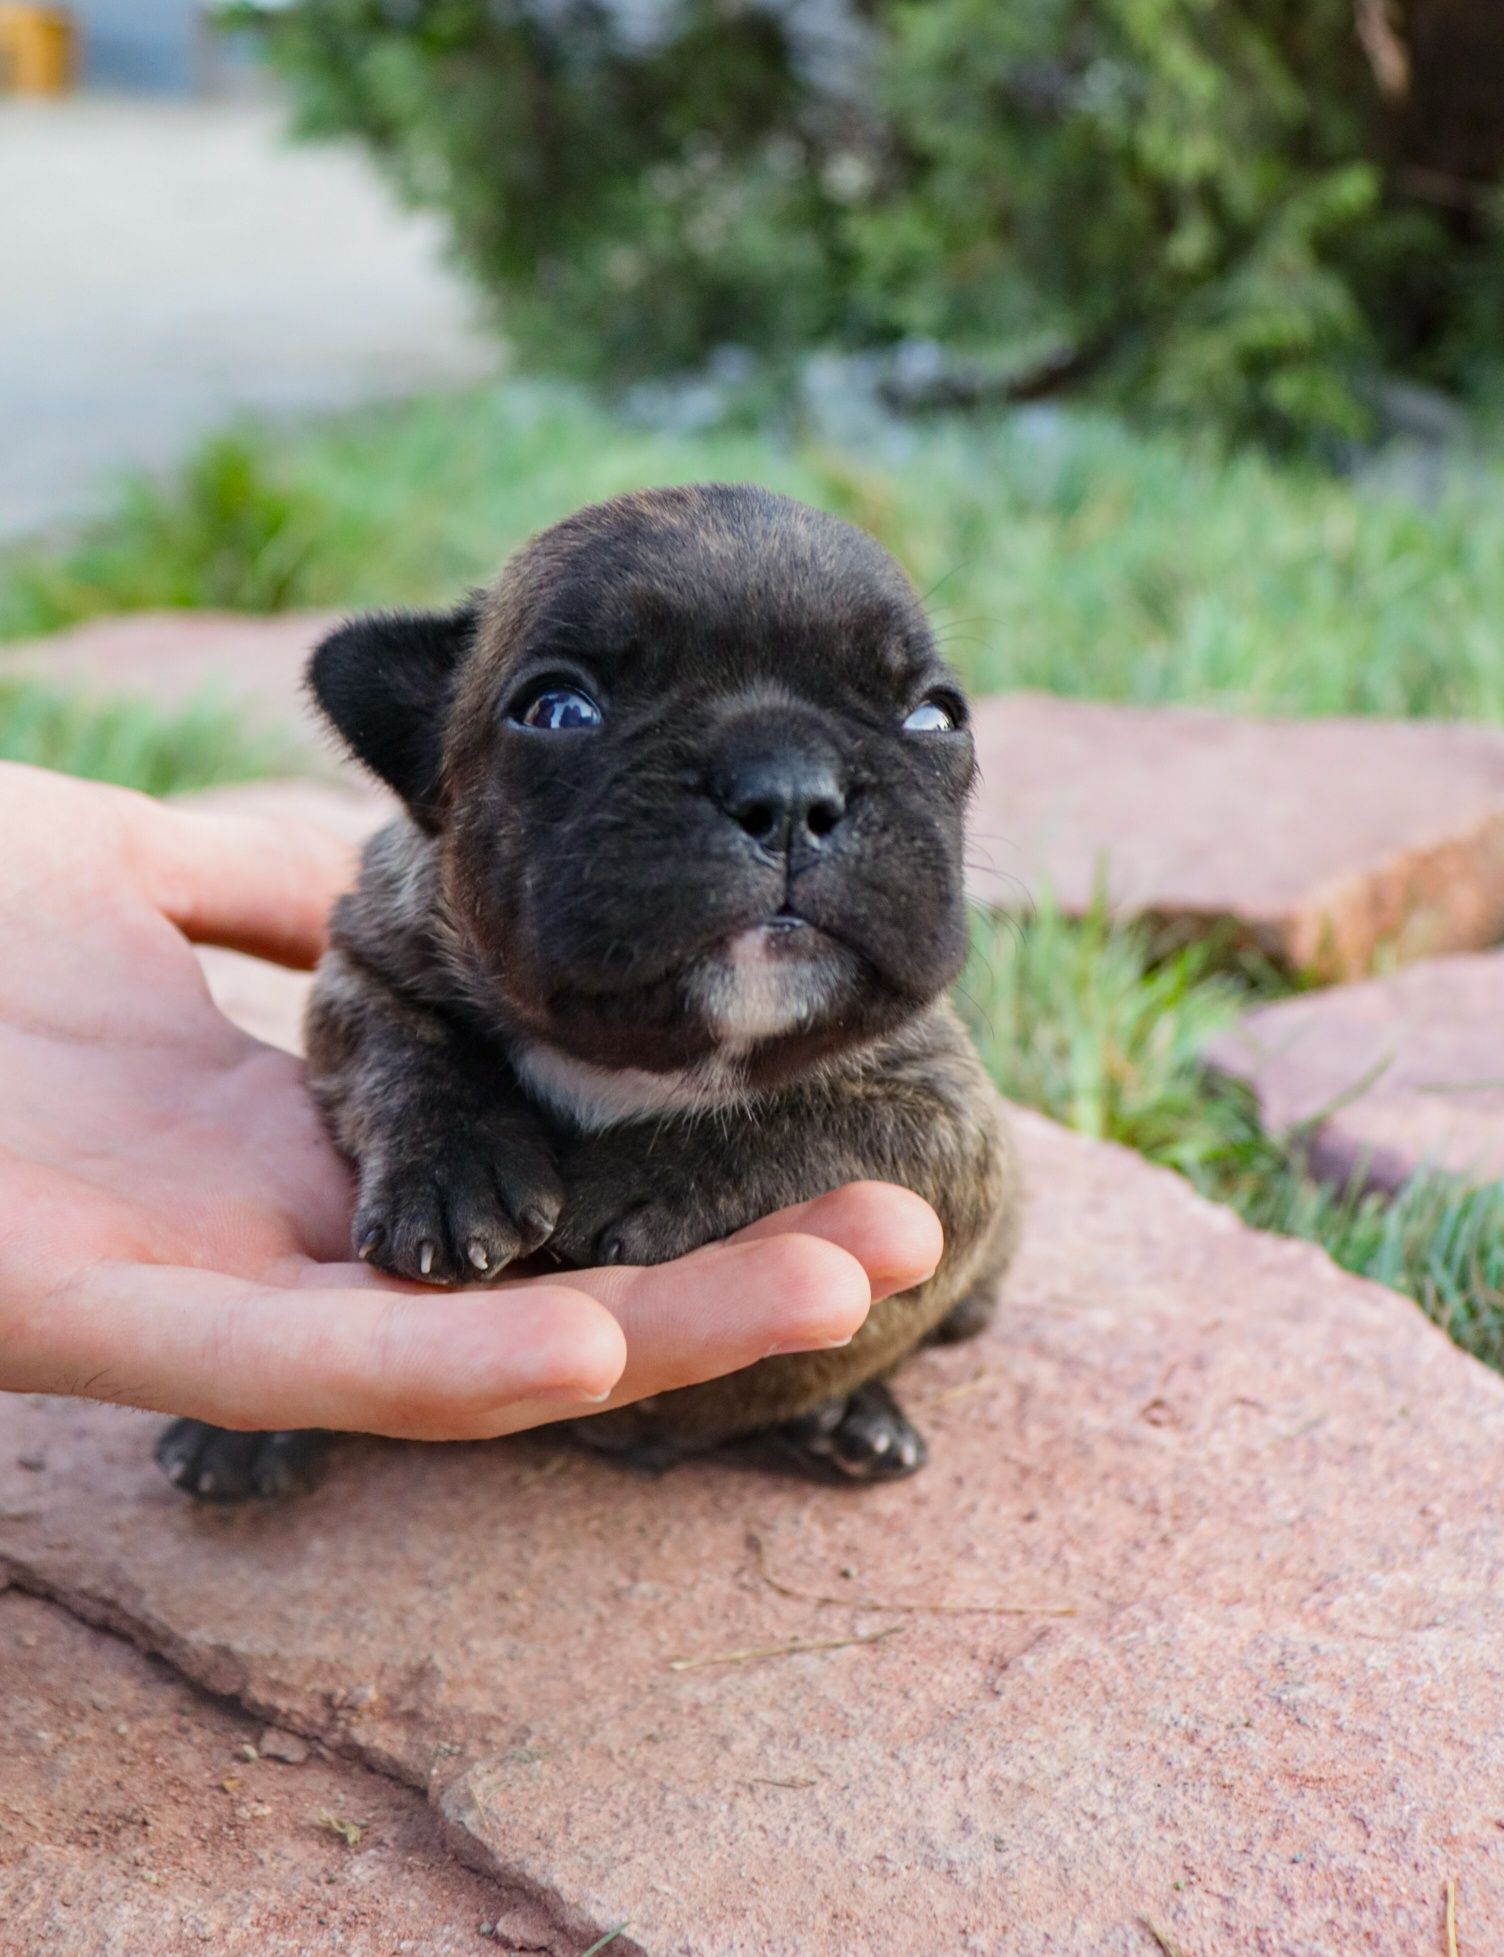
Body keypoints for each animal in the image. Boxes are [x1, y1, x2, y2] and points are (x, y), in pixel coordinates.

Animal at [155, 485, 1017, 1495]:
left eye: (935, 718)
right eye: (560, 709)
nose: (790, 790)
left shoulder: (953, 1114)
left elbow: (829, 1123)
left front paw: (645, 1180)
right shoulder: (362, 968)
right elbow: (409, 1052)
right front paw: (453, 1173)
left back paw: (855, 1417)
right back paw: (241, 1434)